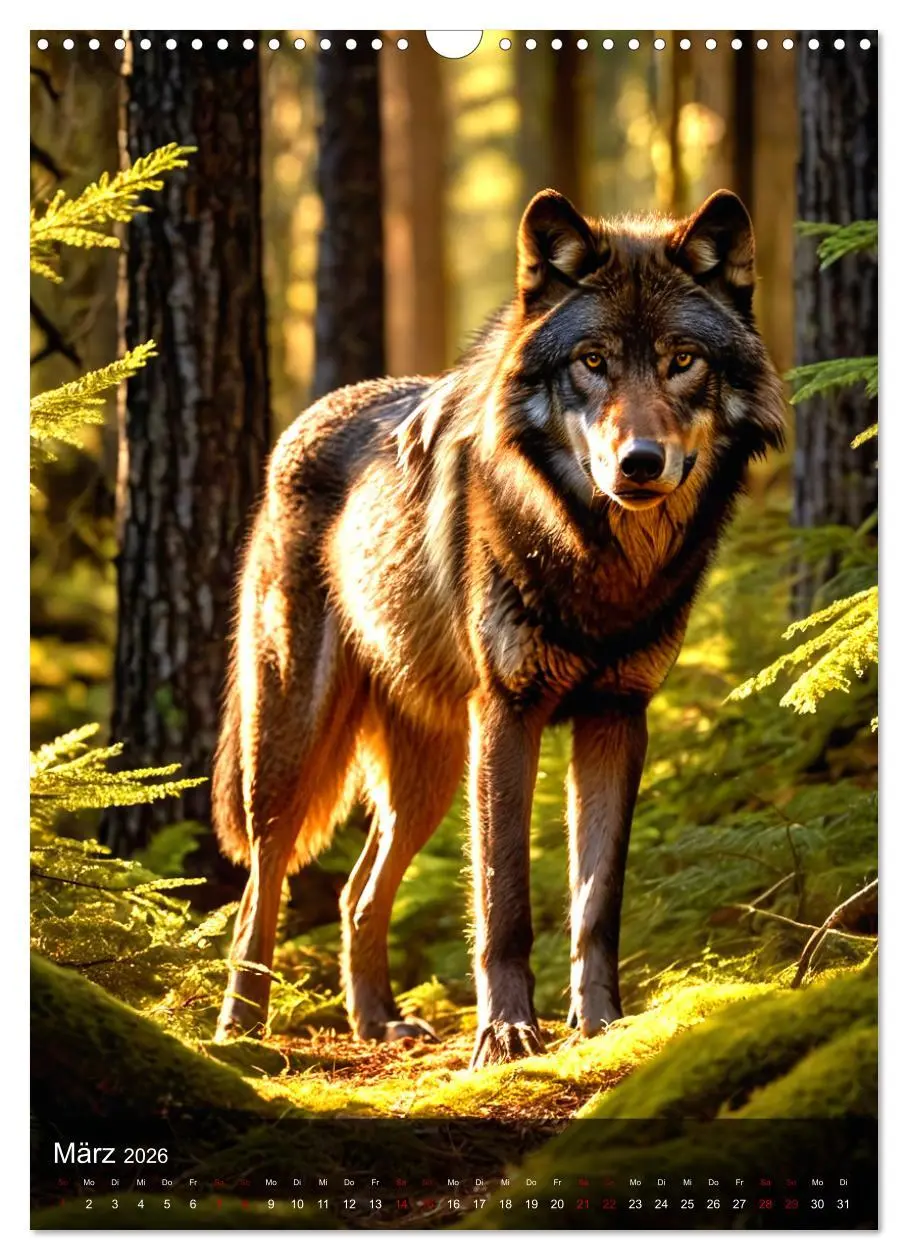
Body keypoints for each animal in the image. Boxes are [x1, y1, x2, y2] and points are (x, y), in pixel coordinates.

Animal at [212, 188, 785, 1067]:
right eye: (593, 361)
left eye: (682, 359)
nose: (639, 463)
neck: (599, 563)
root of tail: (309, 416)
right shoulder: (509, 715)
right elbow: (504, 901)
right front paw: (508, 1032)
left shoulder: (618, 717)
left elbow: (596, 903)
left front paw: (603, 1025)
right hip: (295, 741)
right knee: (262, 884)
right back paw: (240, 1032)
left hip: (432, 771)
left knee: (355, 891)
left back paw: (377, 1022)